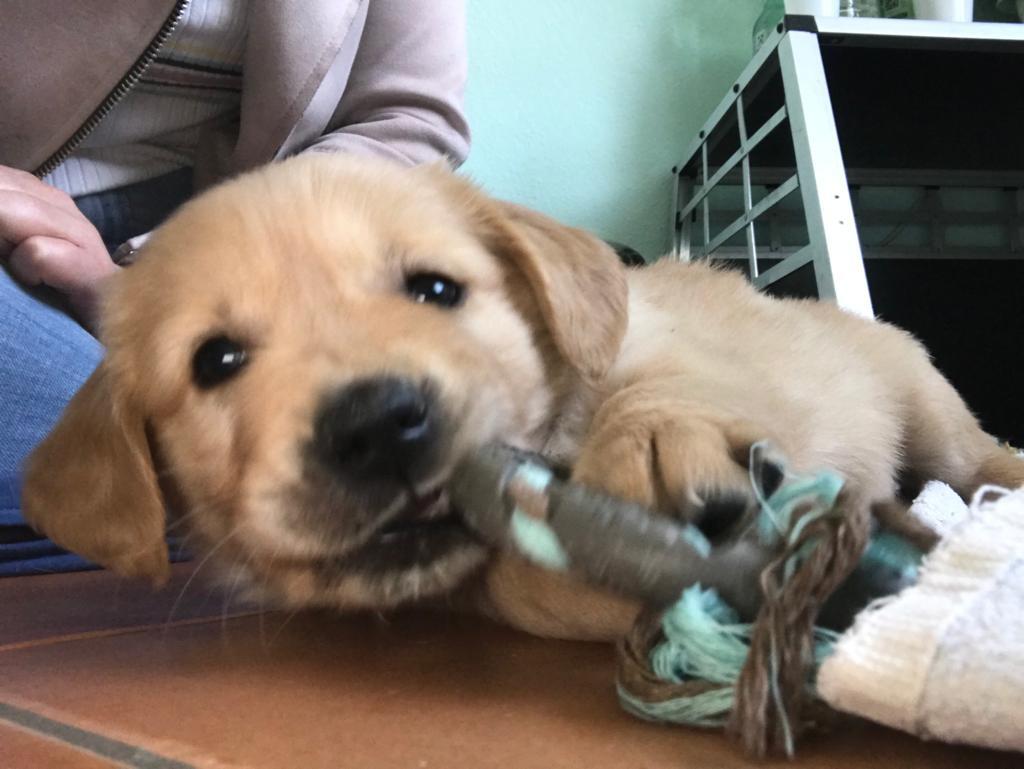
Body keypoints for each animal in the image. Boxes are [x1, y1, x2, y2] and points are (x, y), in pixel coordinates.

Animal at [22, 154, 1024, 641]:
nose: (377, 426)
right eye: (215, 359)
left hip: (924, 399)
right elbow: (523, 582)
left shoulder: (661, 339)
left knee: (974, 452)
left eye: (435, 289)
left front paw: (654, 456)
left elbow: (659, 383)